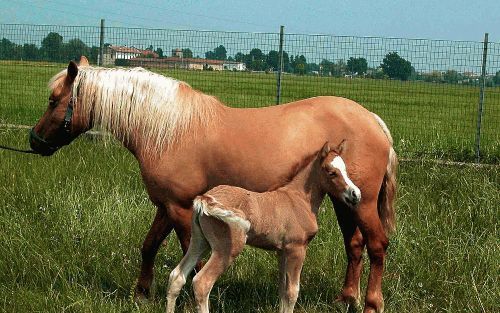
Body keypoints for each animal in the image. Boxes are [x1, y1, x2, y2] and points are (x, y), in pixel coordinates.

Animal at [167, 140, 360, 310]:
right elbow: (292, 293)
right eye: (331, 172)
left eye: (346, 170)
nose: (355, 194)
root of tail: (204, 198)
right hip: (227, 248)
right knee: (202, 283)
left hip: (200, 241)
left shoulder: (282, 251)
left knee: (177, 277)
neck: (299, 199)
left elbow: (283, 291)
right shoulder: (296, 249)